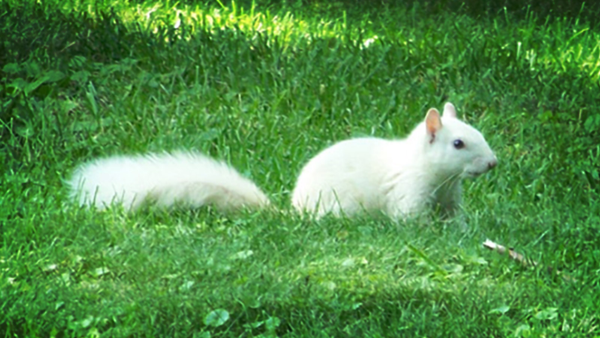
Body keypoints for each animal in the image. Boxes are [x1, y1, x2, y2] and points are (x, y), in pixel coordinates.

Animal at [69, 103, 496, 219]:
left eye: (478, 132)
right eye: (459, 143)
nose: (492, 164)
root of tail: (295, 211)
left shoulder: (450, 197)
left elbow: (455, 219)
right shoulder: (408, 192)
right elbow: (411, 221)